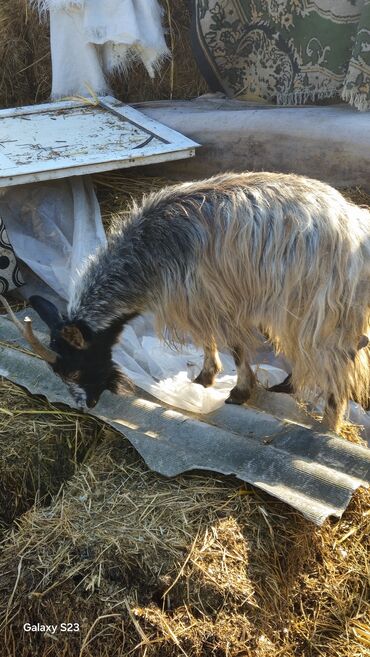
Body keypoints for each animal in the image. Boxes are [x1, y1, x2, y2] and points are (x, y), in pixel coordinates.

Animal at [2, 172, 370, 434]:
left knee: (336, 361)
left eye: (77, 367)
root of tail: (356, 227)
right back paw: (291, 388)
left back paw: (328, 425)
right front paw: (206, 377)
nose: (87, 404)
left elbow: (234, 346)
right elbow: (207, 340)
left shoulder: (212, 299)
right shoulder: (198, 301)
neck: (147, 254)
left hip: (319, 307)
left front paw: (238, 391)